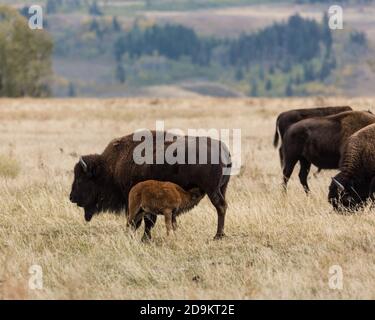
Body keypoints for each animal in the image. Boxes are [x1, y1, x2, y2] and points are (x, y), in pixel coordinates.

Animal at [69, 131, 231, 240]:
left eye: (81, 180)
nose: (71, 197)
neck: (111, 167)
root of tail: (223, 149)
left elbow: (143, 221)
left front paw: (143, 238)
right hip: (222, 188)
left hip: (212, 190)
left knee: (220, 207)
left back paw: (218, 236)